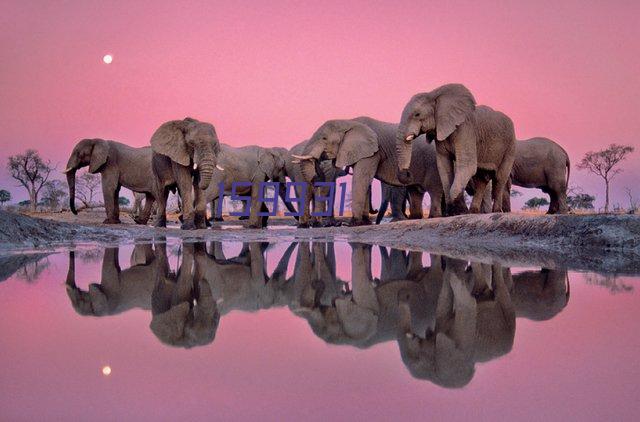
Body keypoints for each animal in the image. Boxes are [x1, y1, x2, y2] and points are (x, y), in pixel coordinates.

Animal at [294, 115, 448, 226]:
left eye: (324, 138)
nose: (318, 161)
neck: (349, 122)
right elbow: (365, 181)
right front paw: (364, 222)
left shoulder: (372, 151)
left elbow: (361, 178)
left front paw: (352, 223)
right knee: (416, 192)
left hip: (434, 164)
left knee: (434, 189)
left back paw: (435, 216)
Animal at [396, 83, 516, 214]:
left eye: (417, 114)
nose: (407, 173)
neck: (434, 95)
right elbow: (444, 167)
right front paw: (453, 212)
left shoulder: (465, 130)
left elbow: (467, 166)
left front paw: (461, 211)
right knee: (481, 179)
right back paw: (473, 211)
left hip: (510, 146)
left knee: (500, 177)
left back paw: (496, 211)